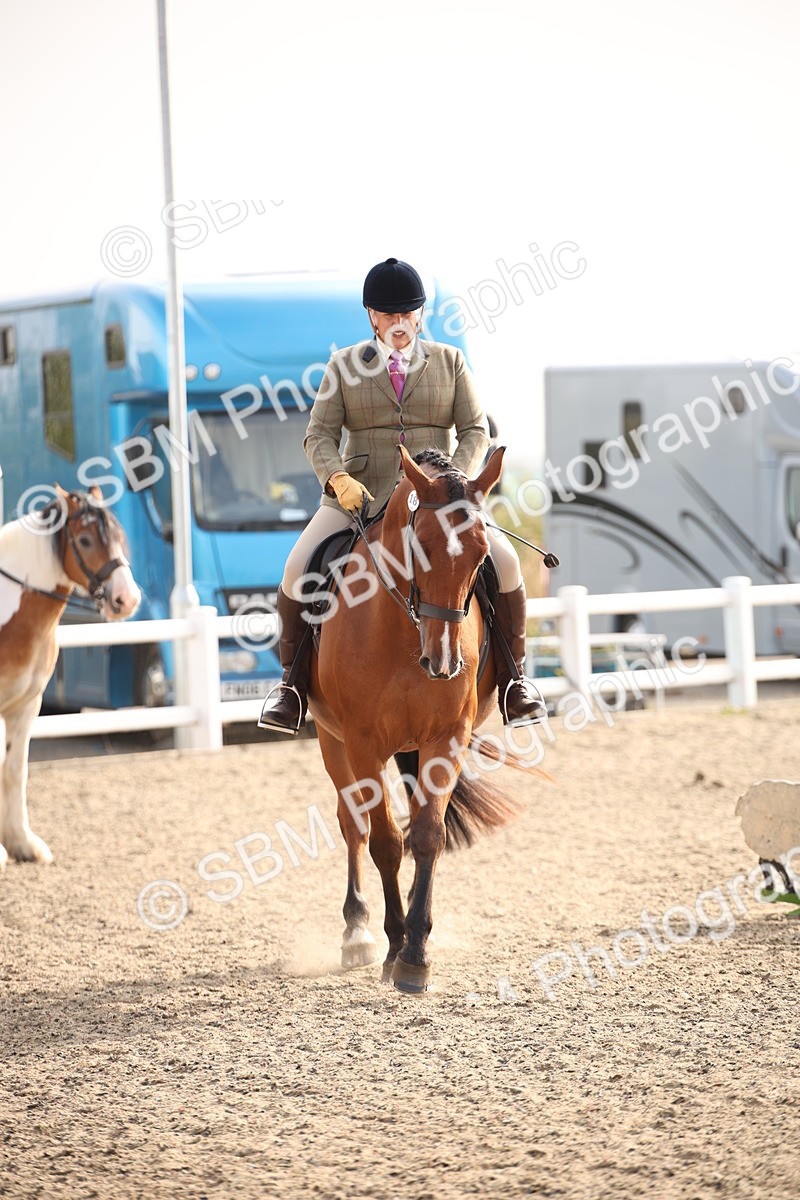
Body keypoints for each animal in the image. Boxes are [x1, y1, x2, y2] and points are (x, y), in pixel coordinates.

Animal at [0, 485, 141, 869]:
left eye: (120, 537)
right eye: (85, 540)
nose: (126, 599)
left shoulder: (26, 706)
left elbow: (15, 770)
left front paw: (22, 844)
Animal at [308, 444, 535, 994]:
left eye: (480, 556)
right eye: (420, 547)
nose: (444, 662)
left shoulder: (446, 737)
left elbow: (428, 834)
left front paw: (415, 952)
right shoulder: (362, 743)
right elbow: (386, 842)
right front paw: (395, 944)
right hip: (331, 740)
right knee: (353, 825)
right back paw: (358, 932)